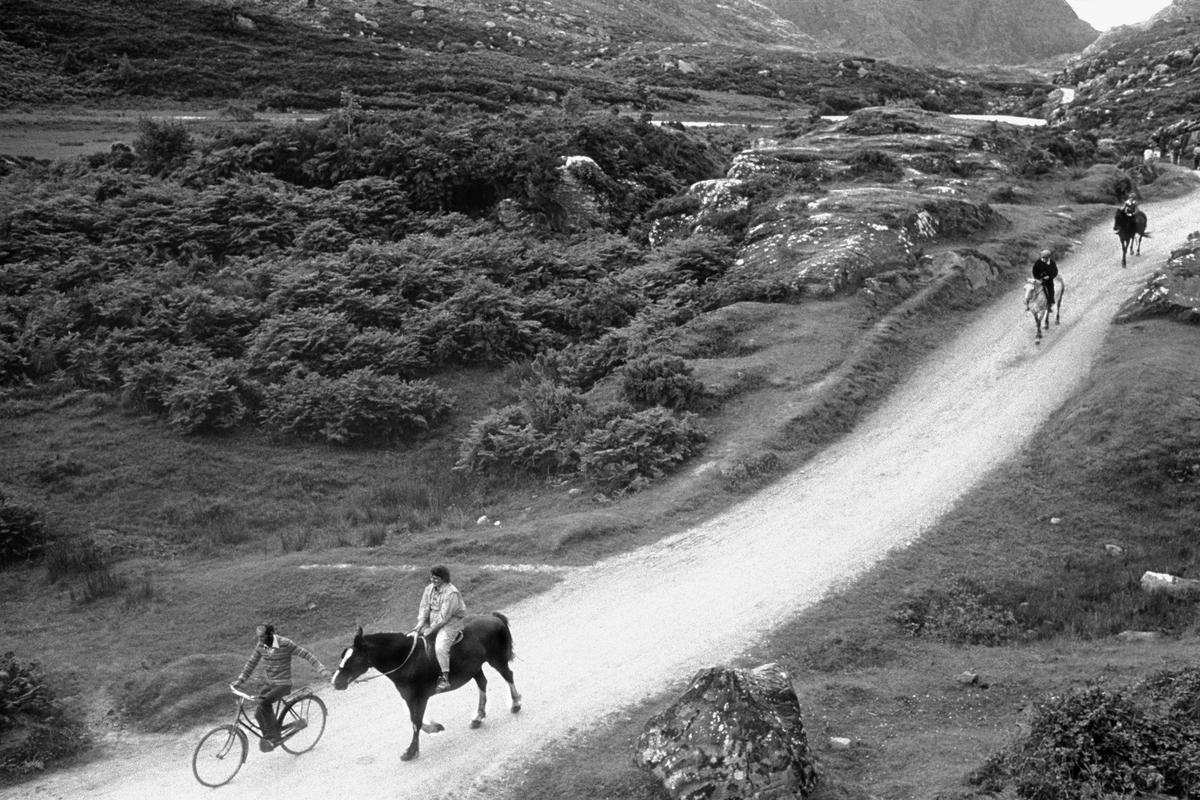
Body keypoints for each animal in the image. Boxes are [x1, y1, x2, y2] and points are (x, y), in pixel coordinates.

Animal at [331, 614, 518, 762]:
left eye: (354, 659)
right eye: (343, 655)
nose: (335, 682)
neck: (406, 659)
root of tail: (494, 617)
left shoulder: (420, 697)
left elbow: (416, 722)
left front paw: (411, 751)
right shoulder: (409, 698)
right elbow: (415, 720)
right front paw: (435, 727)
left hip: (497, 660)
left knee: (508, 676)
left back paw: (515, 704)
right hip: (475, 668)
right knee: (482, 684)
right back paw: (478, 718)